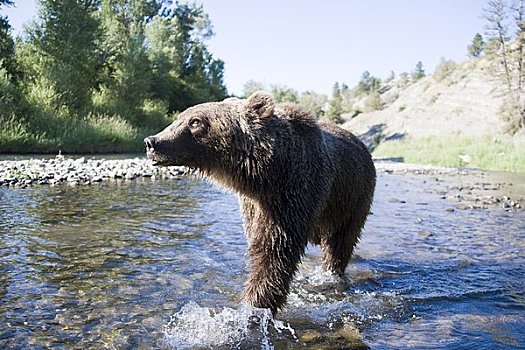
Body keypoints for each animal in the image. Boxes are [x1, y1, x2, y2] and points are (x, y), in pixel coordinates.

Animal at [145, 91, 374, 314]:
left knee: (340, 242)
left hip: (352, 199)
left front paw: (254, 305)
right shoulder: (253, 205)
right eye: (178, 118)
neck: (267, 175)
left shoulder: (294, 192)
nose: (151, 142)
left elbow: (273, 250)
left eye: (195, 121)